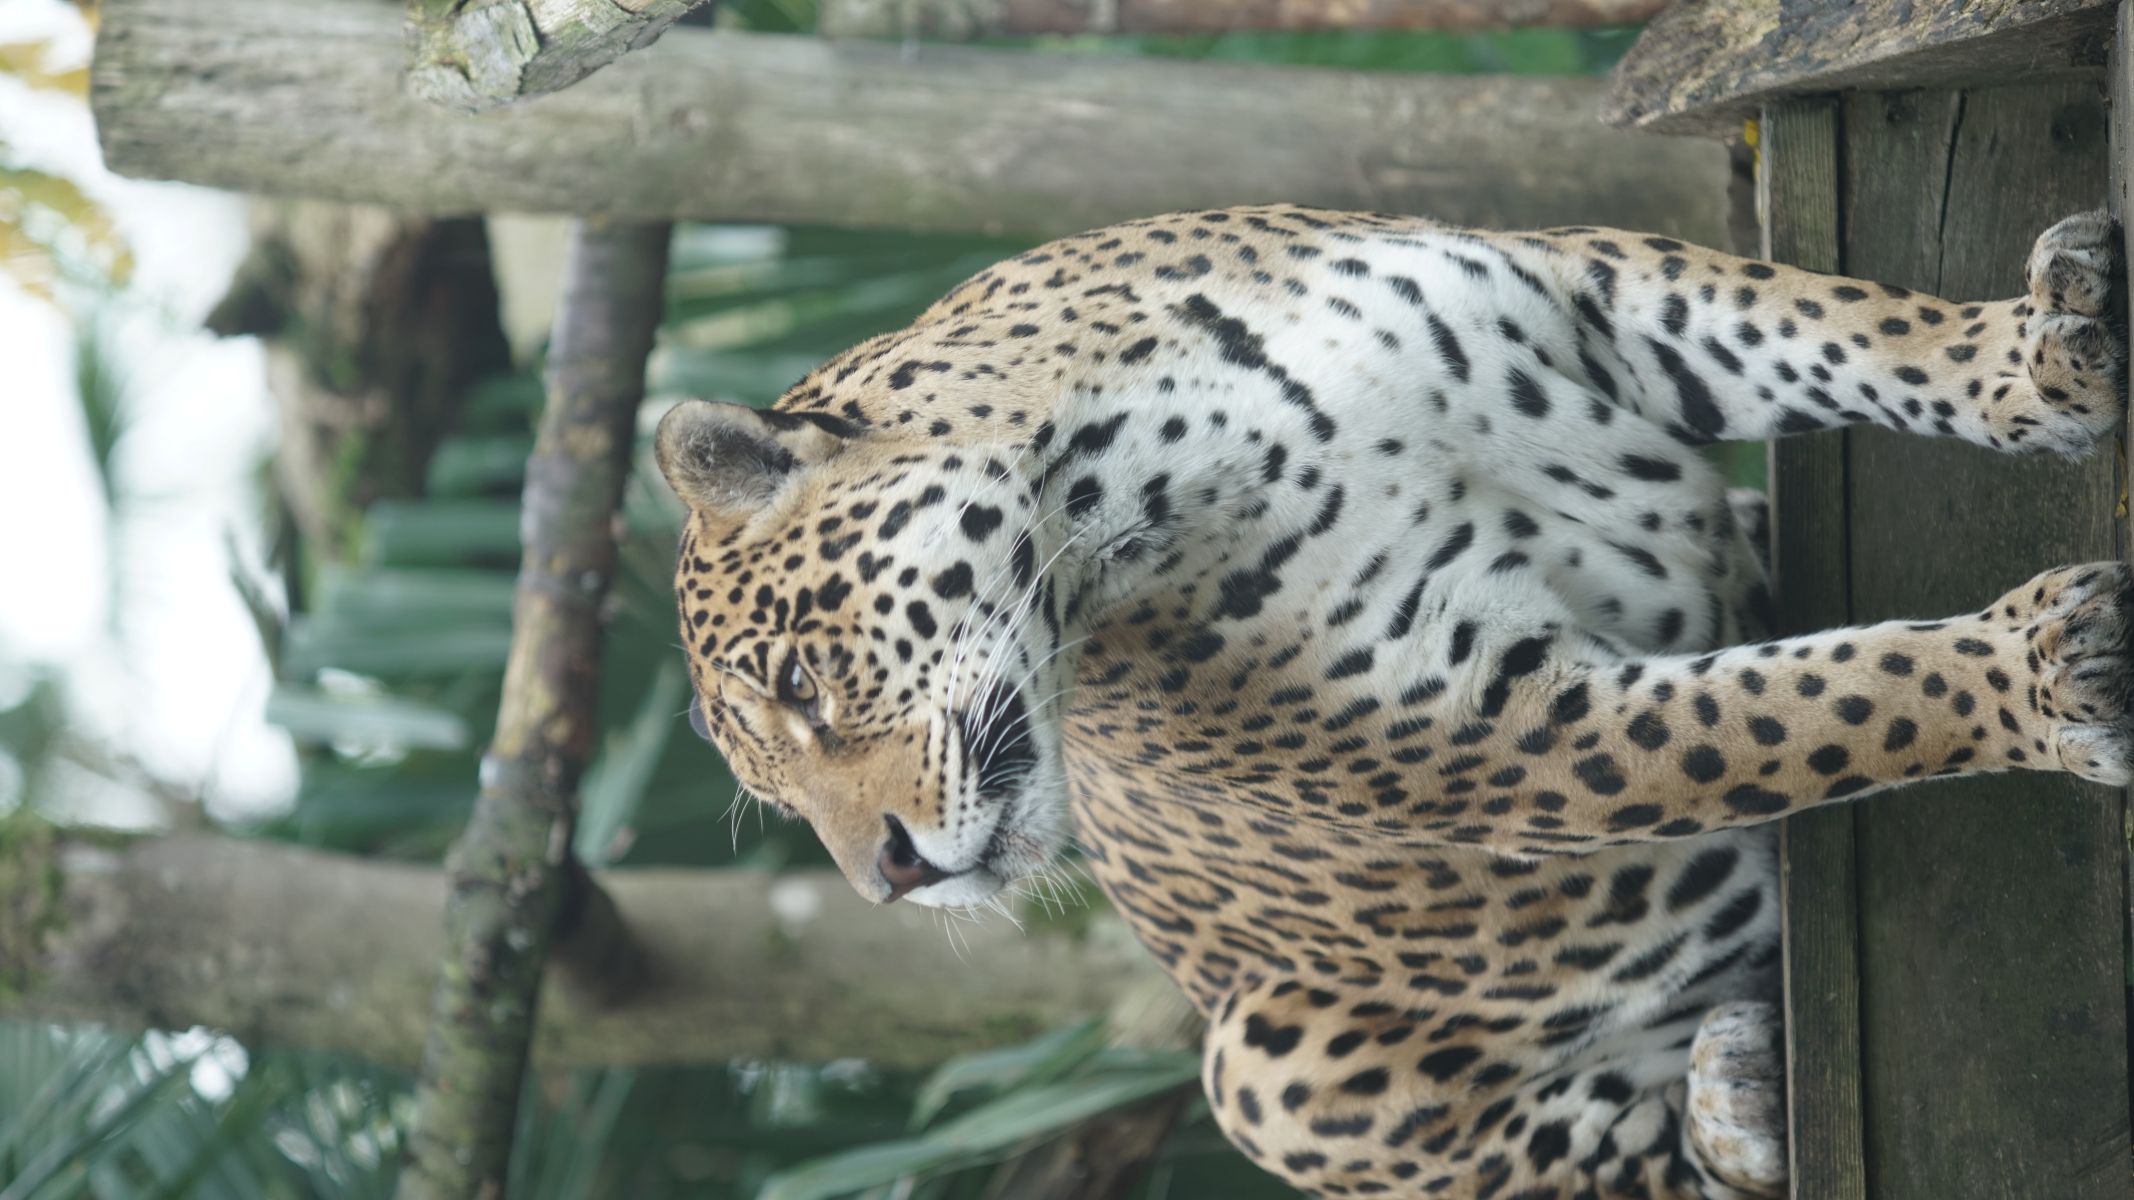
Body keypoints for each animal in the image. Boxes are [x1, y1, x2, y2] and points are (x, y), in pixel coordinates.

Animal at [652, 204, 2128, 1199]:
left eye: (799, 679)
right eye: (774, 773)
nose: (890, 879)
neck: (1146, 436)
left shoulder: (1598, 289)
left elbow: (1843, 326)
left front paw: (2038, 359)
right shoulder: (1501, 732)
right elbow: (1819, 711)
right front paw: (2047, 674)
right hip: (1252, 1060)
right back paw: (1743, 1107)